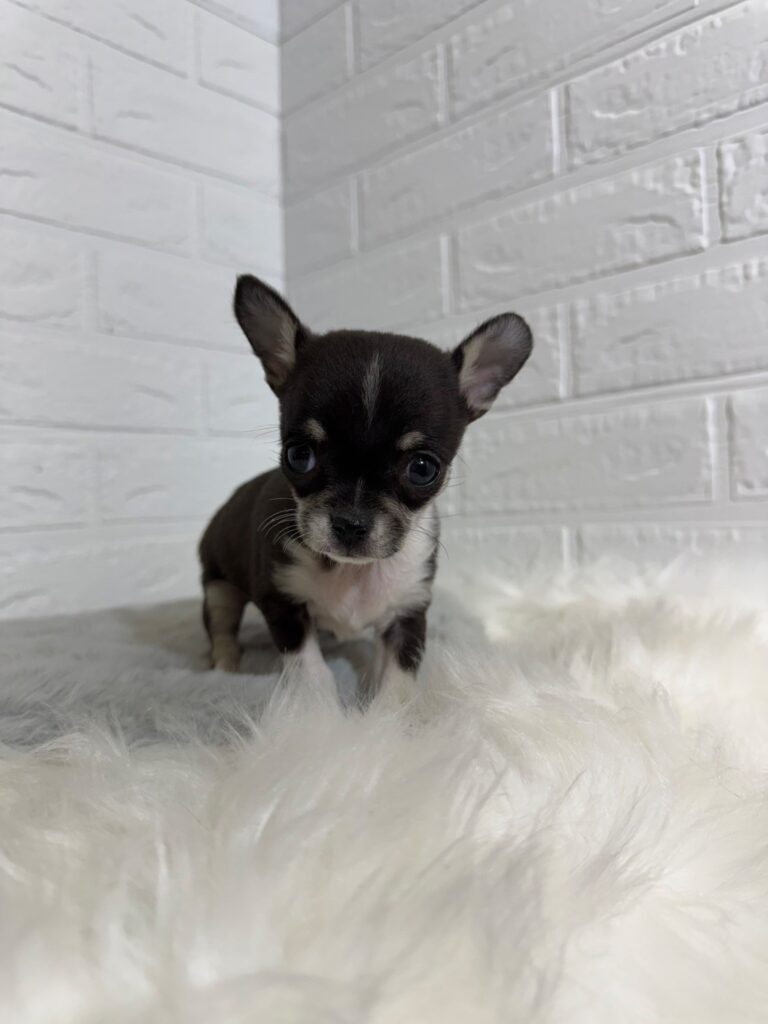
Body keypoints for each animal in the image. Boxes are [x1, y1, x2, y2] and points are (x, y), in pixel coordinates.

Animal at [199, 274, 532, 702]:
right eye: (299, 455)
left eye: (422, 469)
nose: (350, 523)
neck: (353, 574)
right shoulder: (282, 602)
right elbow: (310, 669)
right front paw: (320, 711)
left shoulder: (408, 612)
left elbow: (397, 680)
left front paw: (386, 715)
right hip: (218, 585)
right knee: (221, 626)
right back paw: (225, 666)